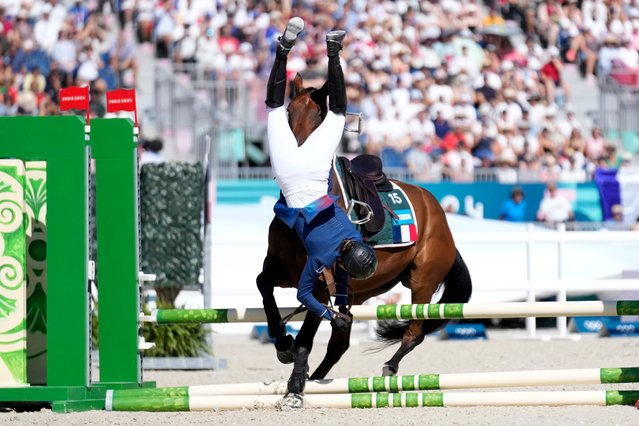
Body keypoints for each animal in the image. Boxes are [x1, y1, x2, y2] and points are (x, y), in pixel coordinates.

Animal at [256, 74, 476, 400]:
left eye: (320, 117)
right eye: (288, 113)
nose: (295, 162)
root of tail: (439, 215)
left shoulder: (319, 284)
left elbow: (307, 336)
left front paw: (295, 384)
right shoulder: (281, 269)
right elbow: (264, 287)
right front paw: (283, 344)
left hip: (422, 282)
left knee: (414, 333)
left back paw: (388, 368)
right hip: (358, 292)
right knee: (340, 343)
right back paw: (319, 378)